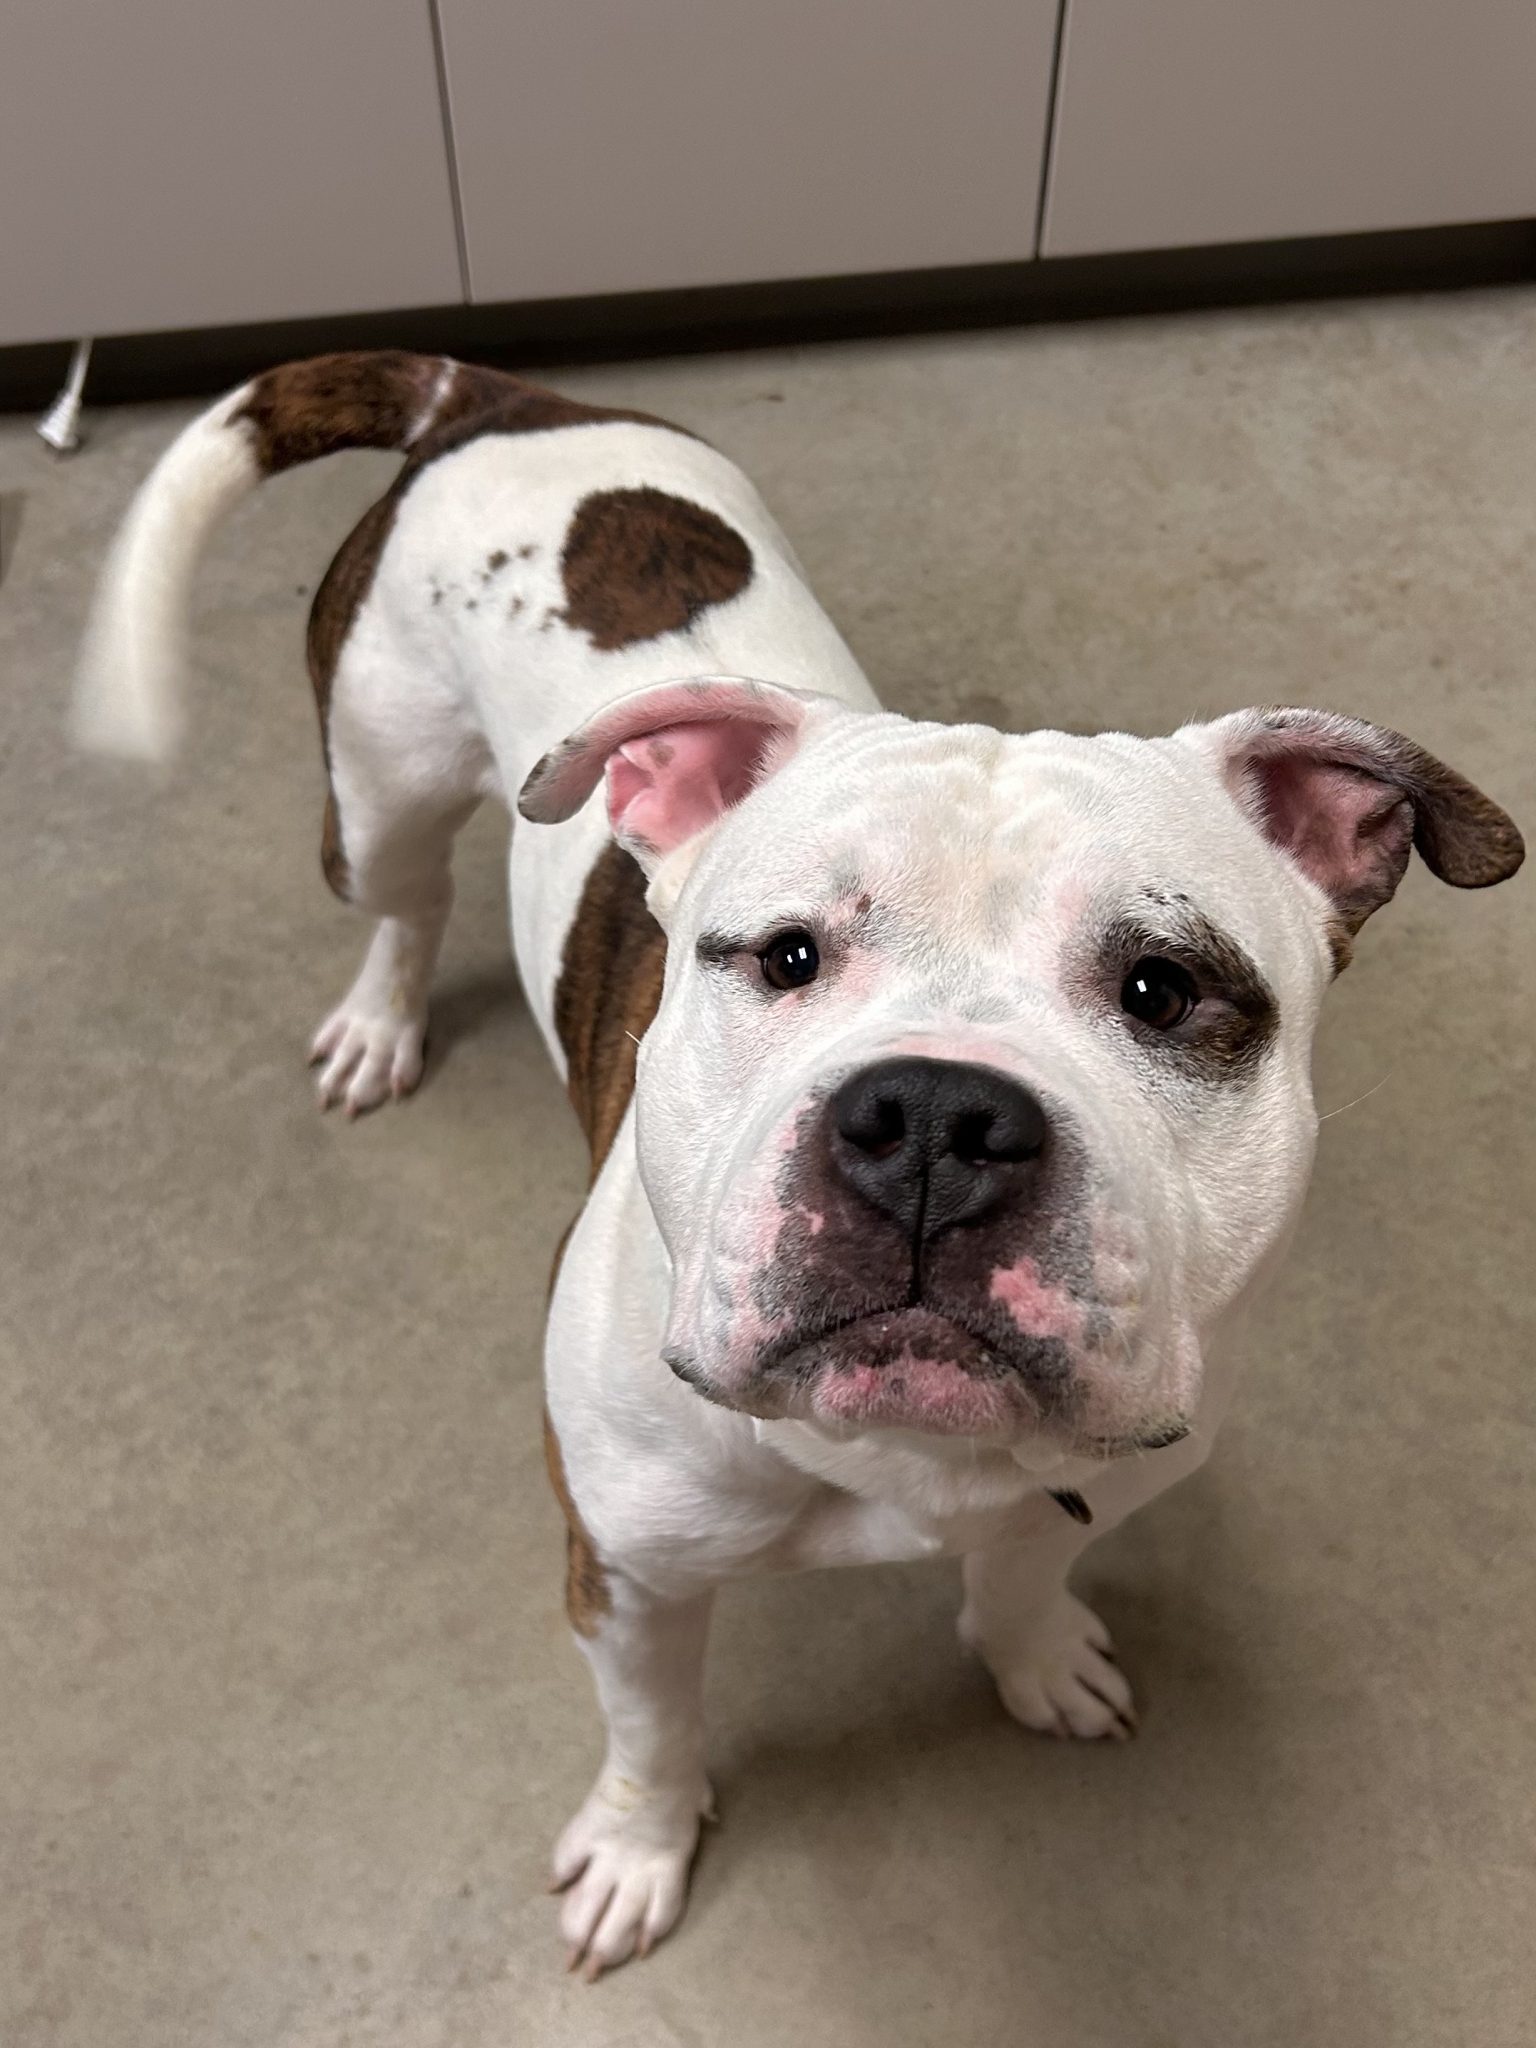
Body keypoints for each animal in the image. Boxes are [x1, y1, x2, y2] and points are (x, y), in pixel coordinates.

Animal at [77, 349, 1524, 1977]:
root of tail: (493, 394)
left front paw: (1034, 1653)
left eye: (1165, 990)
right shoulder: (625, 1576)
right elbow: (651, 1732)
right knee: (403, 898)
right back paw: (381, 1023)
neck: (911, 1458)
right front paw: (641, 1850)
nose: (939, 1121)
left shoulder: (1108, 1477)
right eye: (783, 956)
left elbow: (1028, 1566)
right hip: (377, 793)